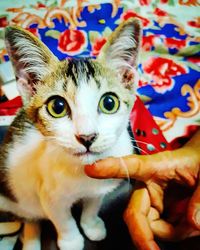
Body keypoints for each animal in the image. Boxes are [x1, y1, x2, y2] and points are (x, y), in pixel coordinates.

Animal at [0, 18, 141, 250]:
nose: (87, 137)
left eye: (109, 103)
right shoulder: (48, 196)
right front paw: (71, 240)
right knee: (30, 218)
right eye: (57, 107)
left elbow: (92, 205)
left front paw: (91, 225)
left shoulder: (100, 184)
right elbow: (62, 219)